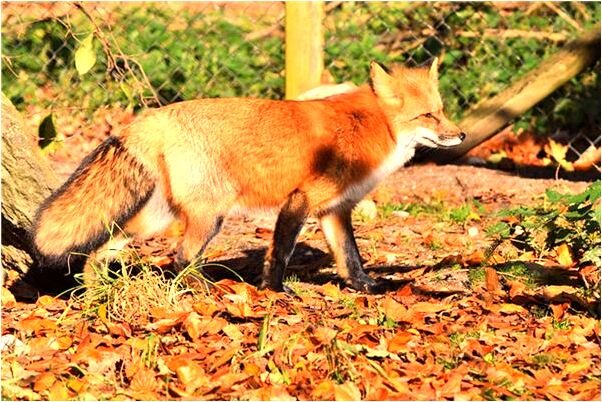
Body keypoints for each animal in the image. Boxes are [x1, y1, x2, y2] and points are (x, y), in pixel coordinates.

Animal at [31, 59, 464, 292]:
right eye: (428, 116)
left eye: (442, 111)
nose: (461, 135)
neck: (370, 126)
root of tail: (153, 116)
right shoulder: (301, 199)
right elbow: (281, 252)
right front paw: (274, 291)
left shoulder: (334, 210)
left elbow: (351, 258)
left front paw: (368, 288)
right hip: (211, 216)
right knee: (181, 258)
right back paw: (207, 291)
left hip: (156, 218)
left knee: (103, 249)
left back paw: (97, 290)